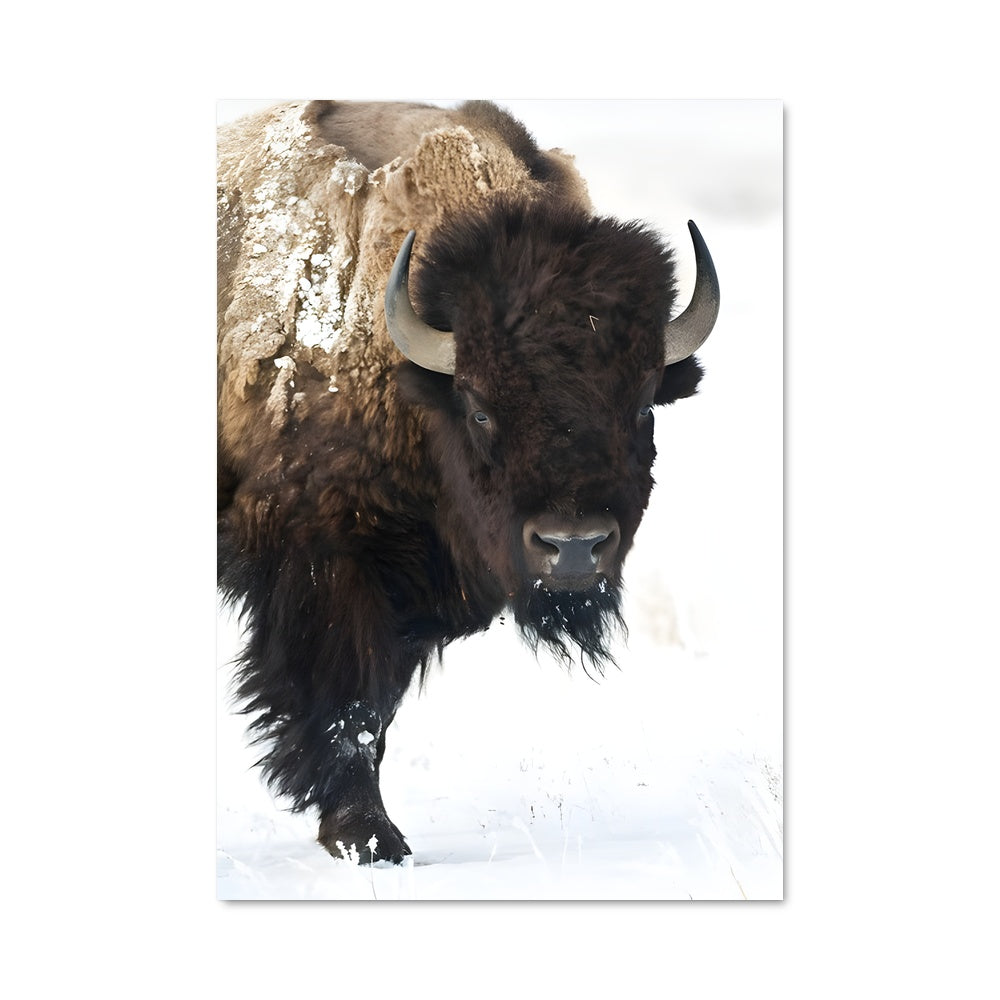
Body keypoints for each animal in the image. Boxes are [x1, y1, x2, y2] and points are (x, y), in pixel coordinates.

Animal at [217, 100, 719, 863]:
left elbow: (376, 710)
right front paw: (369, 837)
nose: (574, 547)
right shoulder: (326, 565)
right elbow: (347, 706)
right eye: (480, 407)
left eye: (641, 406)